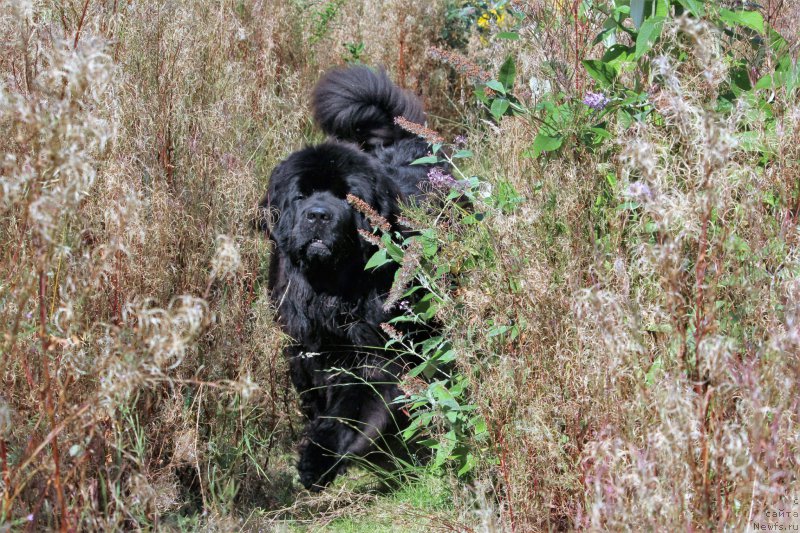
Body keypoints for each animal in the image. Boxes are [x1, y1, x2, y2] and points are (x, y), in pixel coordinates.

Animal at [258, 64, 440, 488]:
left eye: (345, 197)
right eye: (301, 196)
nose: (318, 215)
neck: (330, 291)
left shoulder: (376, 349)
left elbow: (349, 408)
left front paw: (317, 458)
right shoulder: (305, 345)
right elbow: (313, 391)